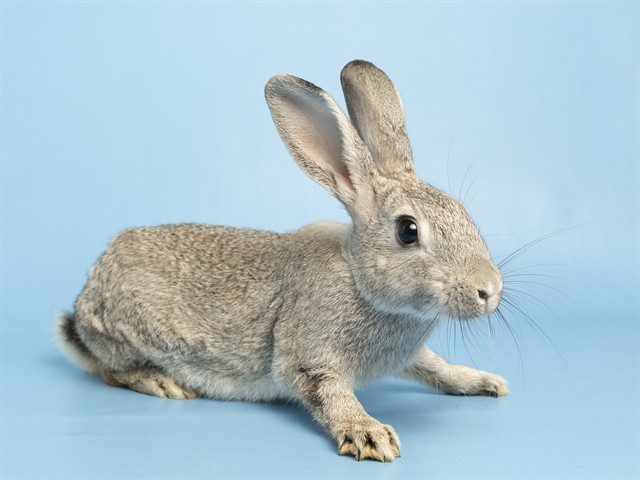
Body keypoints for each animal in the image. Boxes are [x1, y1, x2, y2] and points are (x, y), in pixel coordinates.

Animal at [56, 59, 508, 462]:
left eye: (464, 213)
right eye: (408, 231)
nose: (489, 290)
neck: (359, 279)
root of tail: (86, 299)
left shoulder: (413, 356)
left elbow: (436, 367)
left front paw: (485, 381)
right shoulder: (309, 356)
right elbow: (331, 395)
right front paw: (370, 434)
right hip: (129, 336)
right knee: (109, 370)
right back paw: (163, 383)